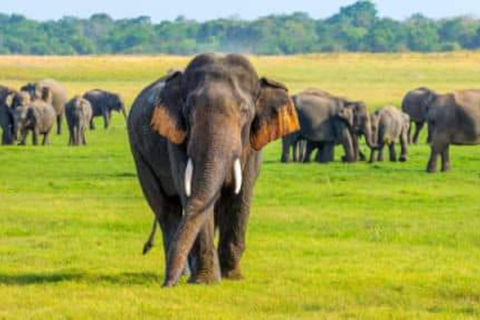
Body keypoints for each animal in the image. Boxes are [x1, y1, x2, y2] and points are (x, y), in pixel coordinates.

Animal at [127, 53, 300, 288]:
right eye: (188, 111)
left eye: (245, 111)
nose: (165, 285)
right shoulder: (177, 139)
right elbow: (191, 194)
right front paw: (206, 281)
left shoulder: (252, 145)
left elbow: (241, 195)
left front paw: (232, 277)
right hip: (140, 155)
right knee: (166, 208)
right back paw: (183, 274)